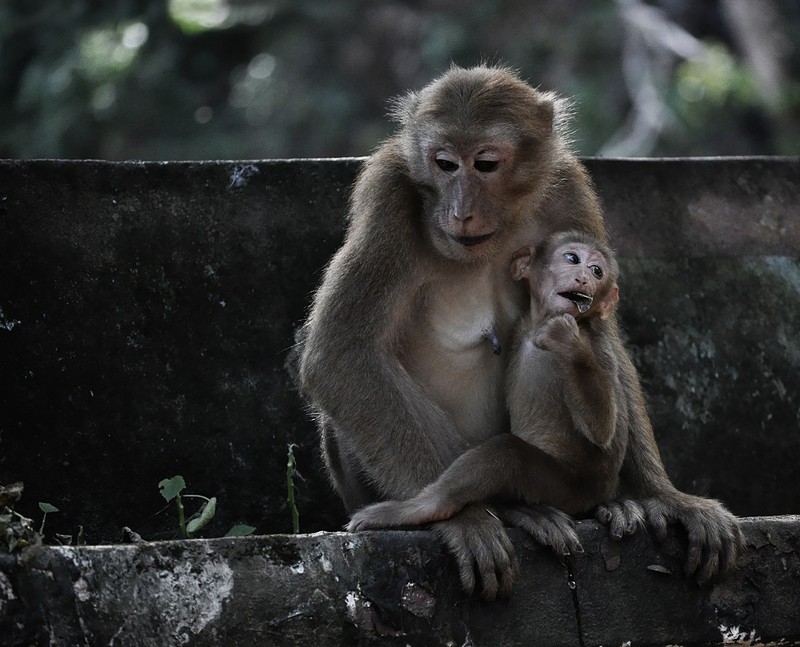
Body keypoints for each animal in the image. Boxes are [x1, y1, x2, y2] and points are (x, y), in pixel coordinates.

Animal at [347, 230, 627, 530]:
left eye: (597, 271)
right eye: (572, 258)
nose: (584, 278)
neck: (537, 326)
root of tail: (599, 494)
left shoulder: (595, 341)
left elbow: (601, 429)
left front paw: (567, 341)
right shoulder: (521, 325)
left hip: (566, 489)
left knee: (506, 455)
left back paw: (422, 509)